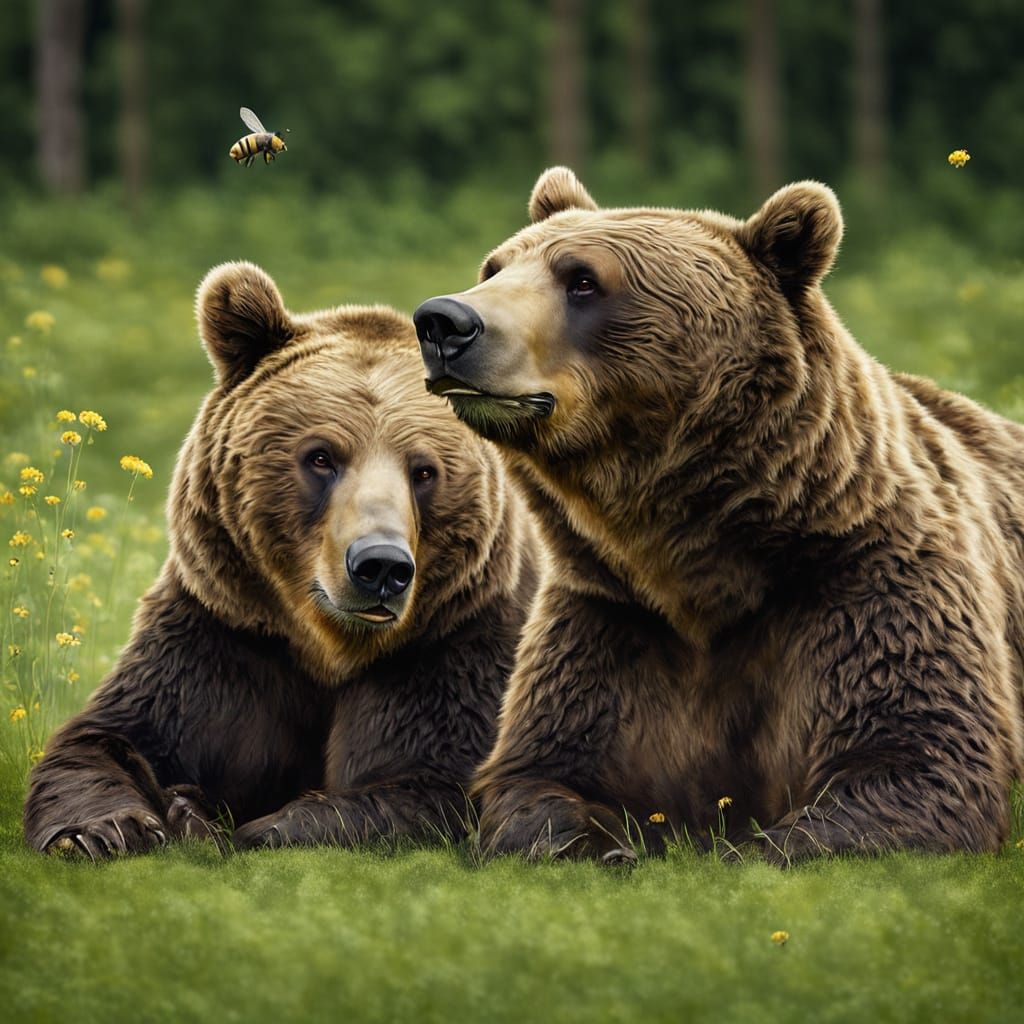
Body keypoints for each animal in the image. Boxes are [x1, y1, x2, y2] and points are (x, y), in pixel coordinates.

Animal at [24, 261, 539, 858]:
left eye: (425, 470)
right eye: (320, 457)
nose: (381, 566)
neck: (327, 648)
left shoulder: (454, 642)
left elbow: (431, 781)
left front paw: (239, 823)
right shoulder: (224, 632)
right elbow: (107, 736)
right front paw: (109, 828)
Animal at [412, 166, 1024, 864]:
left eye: (583, 279)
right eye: (494, 267)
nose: (443, 321)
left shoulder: (865, 583)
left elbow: (918, 757)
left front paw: (750, 845)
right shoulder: (613, 617)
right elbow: (541, 771)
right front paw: (600, 840)